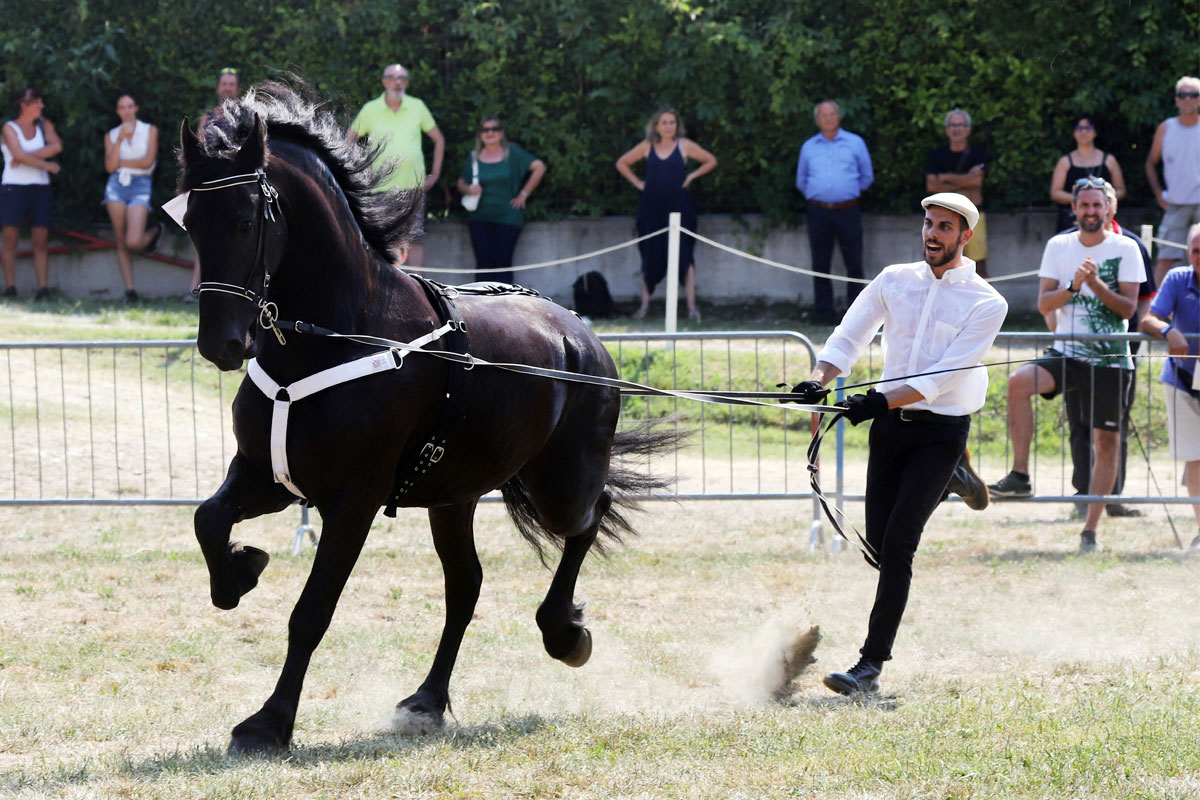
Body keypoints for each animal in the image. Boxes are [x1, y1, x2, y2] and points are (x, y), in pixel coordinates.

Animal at [177, 84, 676, 754]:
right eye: (190, 223)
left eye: (246, 219)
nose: (222, 345)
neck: (338, 337)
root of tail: (582, 334)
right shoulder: (268, 475)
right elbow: (208, 520)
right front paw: (240, 571)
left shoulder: (353, 501)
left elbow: (311, 612)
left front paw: (268, 723)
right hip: (453, 495)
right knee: (466, 584)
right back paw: (427, 701)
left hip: (557, 486)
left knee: (589, 518)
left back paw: (564, 633)